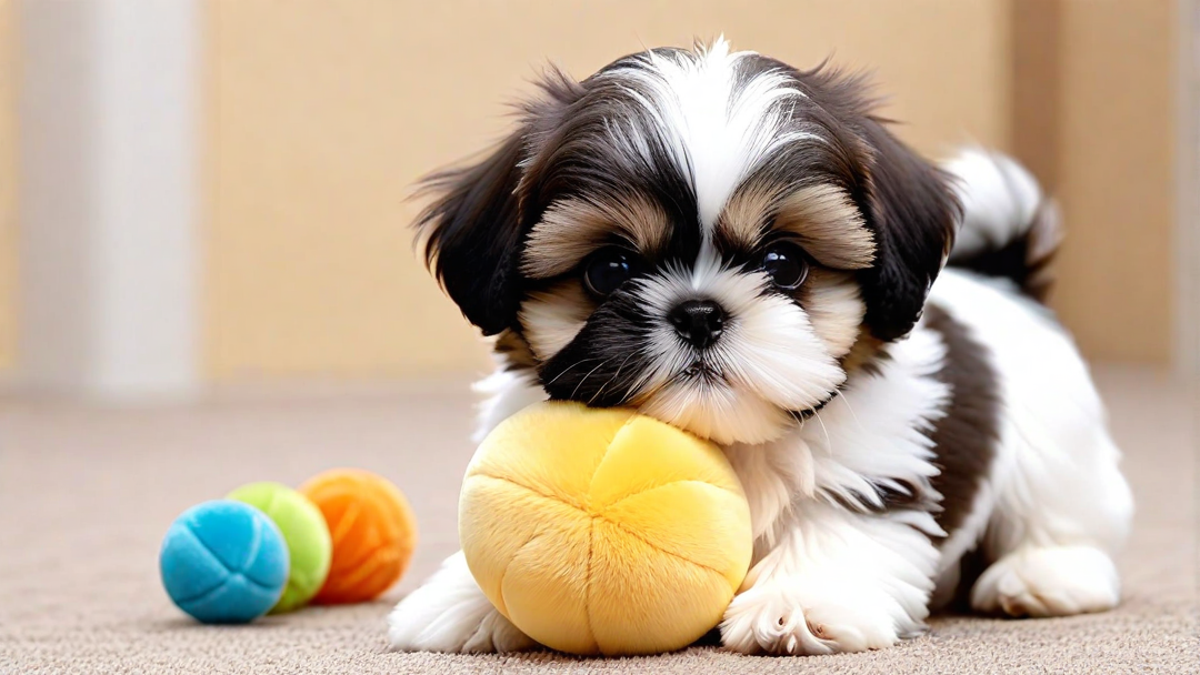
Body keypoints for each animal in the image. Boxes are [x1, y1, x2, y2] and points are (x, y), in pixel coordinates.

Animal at [386, 39, 1132, 653]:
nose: (699, 313)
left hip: (1055, 448)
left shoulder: (872, 460)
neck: (731, 438)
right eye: (609, 269)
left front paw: (799, 600)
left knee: (1060, 511)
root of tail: (1004, 280)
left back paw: (1043, 574)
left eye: (784, 261)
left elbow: (837, 521)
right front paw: (465, 598)